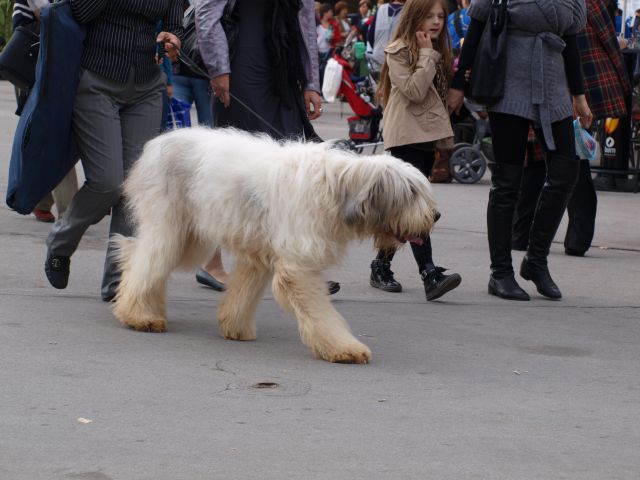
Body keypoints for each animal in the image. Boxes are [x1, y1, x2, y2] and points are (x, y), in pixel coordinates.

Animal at [112, 127, 438, 364]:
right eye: (411, 192)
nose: (435, 216)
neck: (338, 191)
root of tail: (155, 144)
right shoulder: (298, 266)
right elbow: (321, 313)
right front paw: (344, 348)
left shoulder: (260, 256)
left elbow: (243, 294)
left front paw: (234, 327)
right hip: (172, 227)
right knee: (145, 259)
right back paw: (138, 315)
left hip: (188, 236)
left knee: (138, 253)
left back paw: (147, 308)